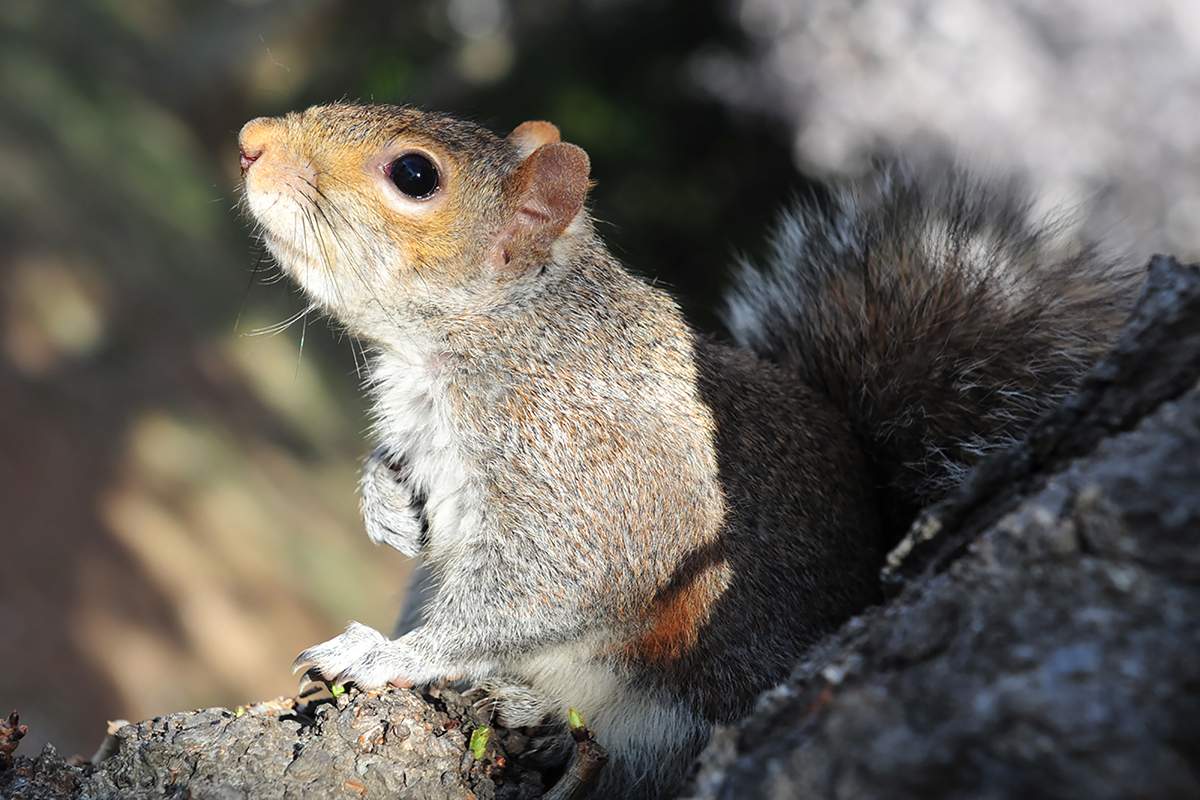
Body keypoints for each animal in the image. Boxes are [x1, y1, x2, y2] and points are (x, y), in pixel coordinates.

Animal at [238, 103, 1138, 798]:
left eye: (416, 176)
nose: (251, 140)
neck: (488, 335)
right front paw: (386, 507)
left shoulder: (590, 468)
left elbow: (547, 588)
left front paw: (385, 653)